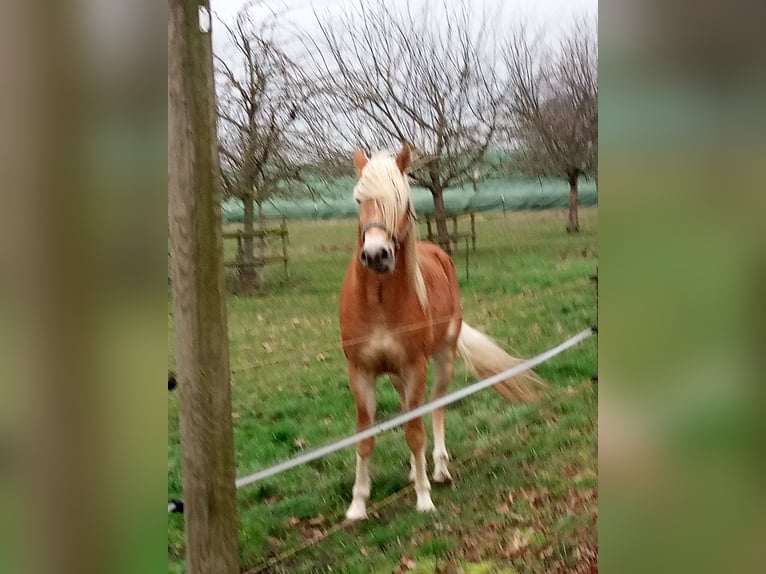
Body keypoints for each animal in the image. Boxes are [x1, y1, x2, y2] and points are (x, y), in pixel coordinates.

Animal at [339, 142, 543, 521]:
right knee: (409, 410)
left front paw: (423, 497)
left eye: (402, 200)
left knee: (434, 408)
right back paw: (413, 470)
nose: (376, 255)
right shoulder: (361, 372)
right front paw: (358, 504)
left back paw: (438, 469)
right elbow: (365, 438)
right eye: (359, 199)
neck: (377, 302)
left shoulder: (415, 367)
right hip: (397, 375)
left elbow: (416, 433)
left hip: (442, 361)